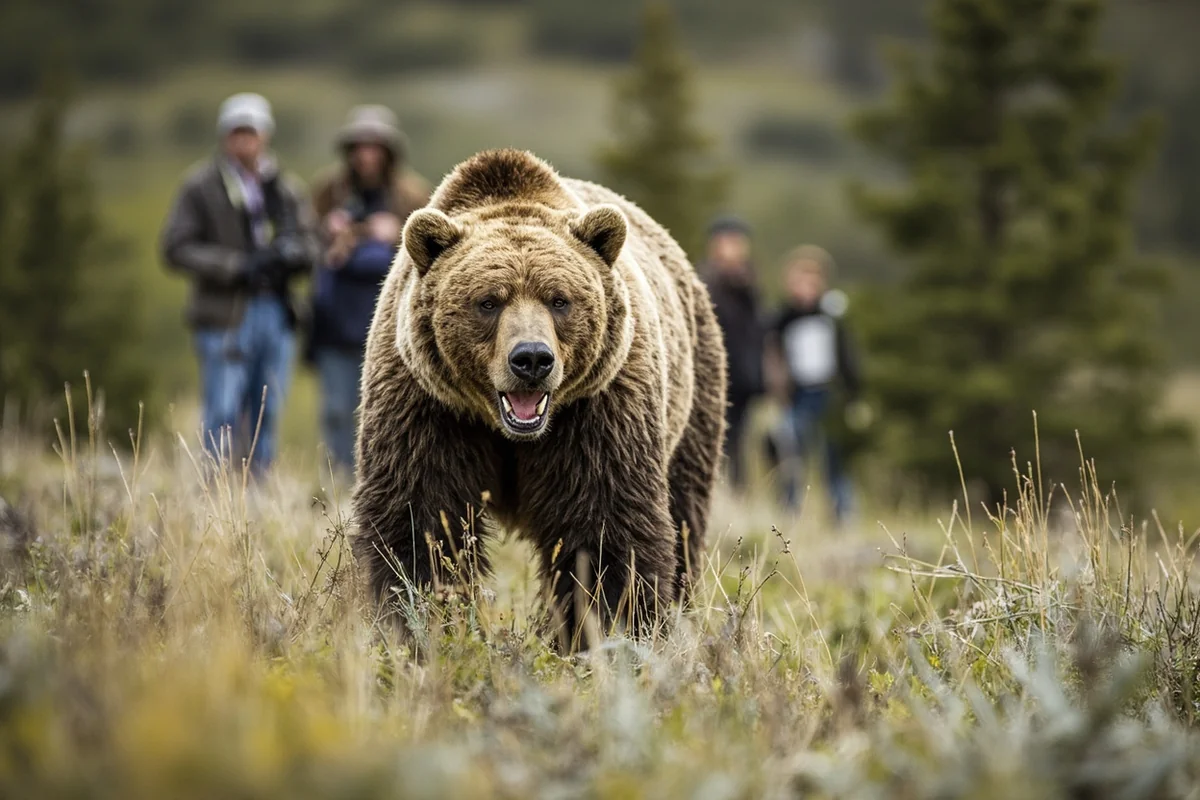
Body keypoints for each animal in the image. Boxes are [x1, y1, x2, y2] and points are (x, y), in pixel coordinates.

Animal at [351, 148, 727, 646]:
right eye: (488, 301)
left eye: (559, 299)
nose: (531, 358)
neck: (509, 431)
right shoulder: (427, 405)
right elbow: (422, 520)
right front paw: (421, 624)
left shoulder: (598, 410)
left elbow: (605, 529)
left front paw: (612, 631)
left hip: (694, 398)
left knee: (684, 514)